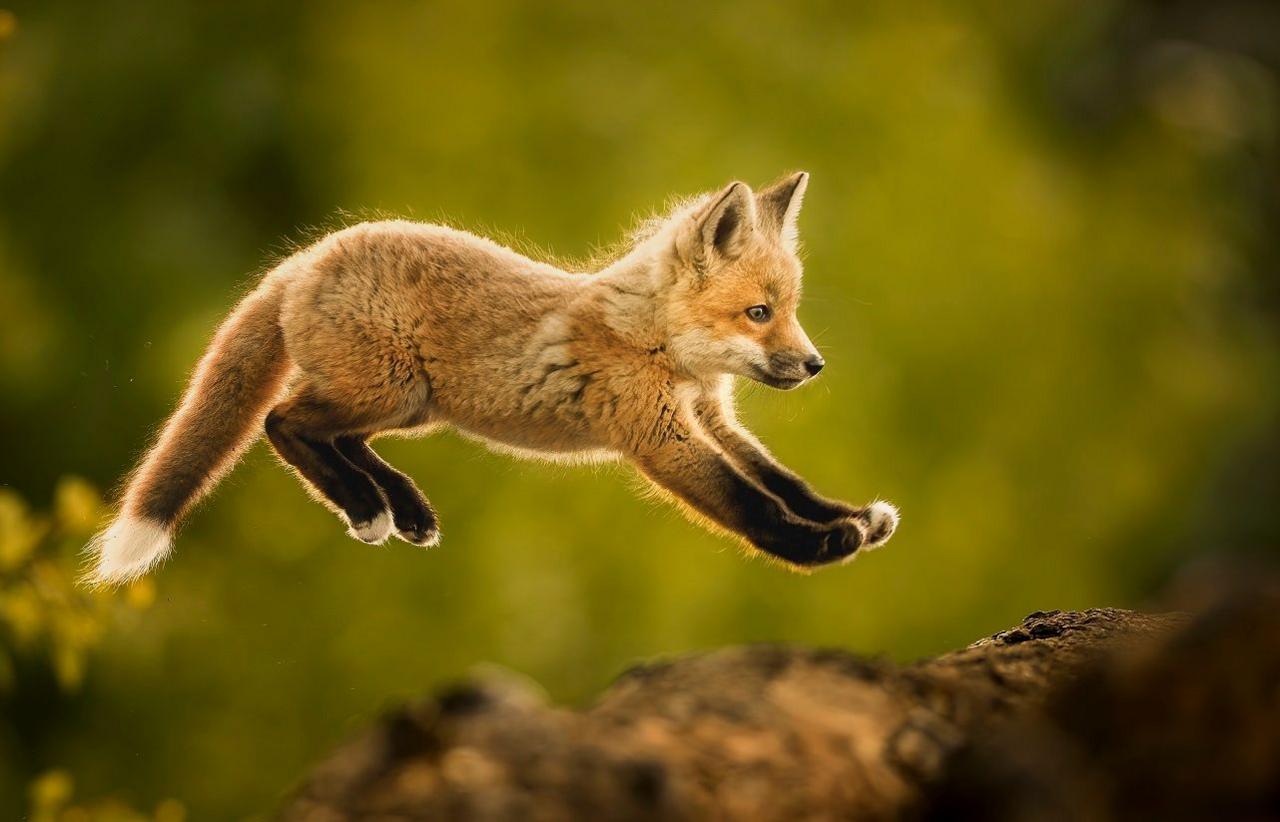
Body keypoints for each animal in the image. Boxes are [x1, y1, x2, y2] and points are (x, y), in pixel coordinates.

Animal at [85, 171, 901, 583]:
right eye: (758, 313)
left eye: (788, 311)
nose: (814, 364)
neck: (659, 348)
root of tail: (308, 256)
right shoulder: (661, 436)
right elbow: (749, 505)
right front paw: (819, 548)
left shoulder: (713, 418)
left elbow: (784, 481)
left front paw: (851, 516)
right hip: (388, 390)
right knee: (280, 423)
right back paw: (370, 507)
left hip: (409, 406)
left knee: (330, 435)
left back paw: (401, 507)